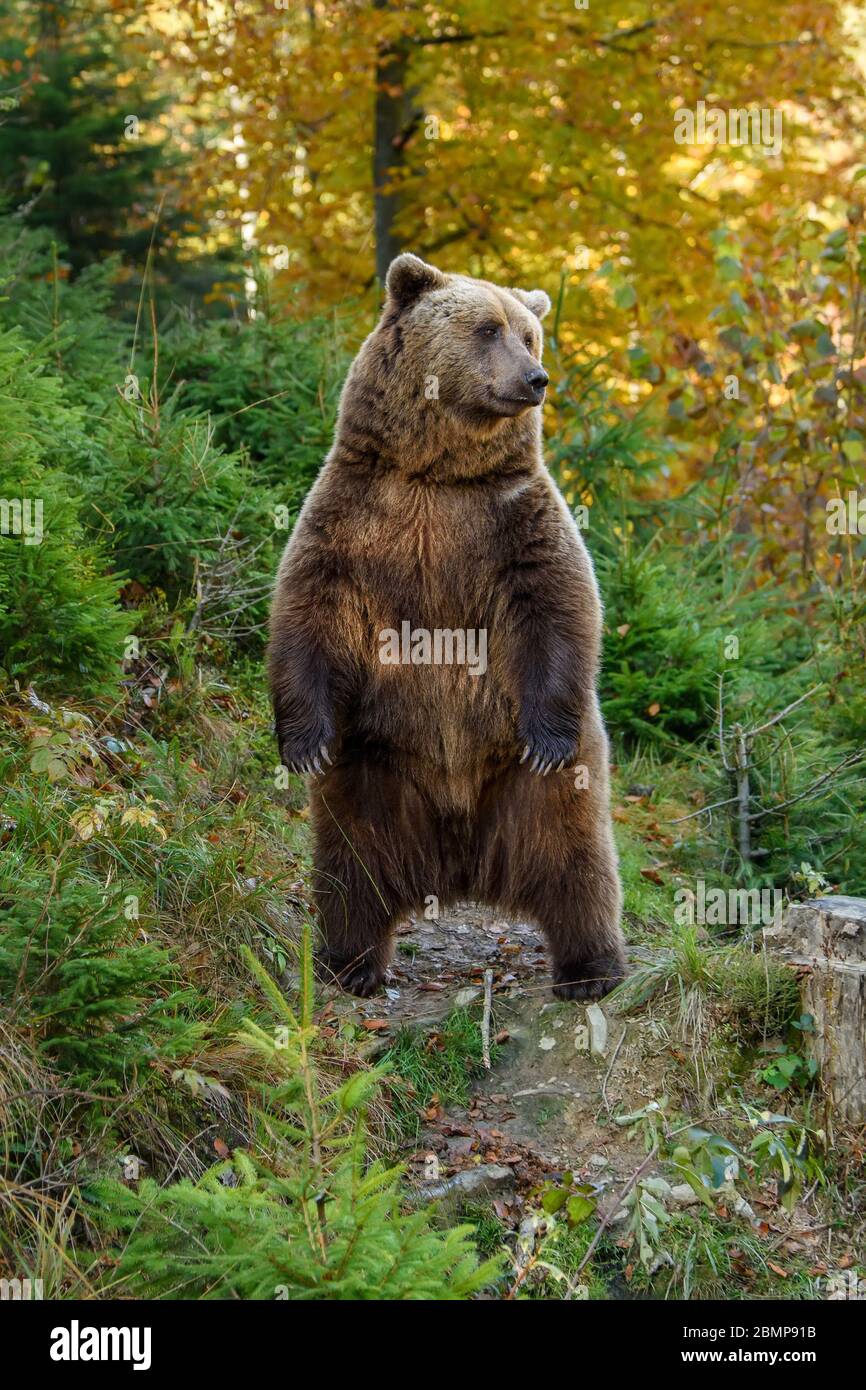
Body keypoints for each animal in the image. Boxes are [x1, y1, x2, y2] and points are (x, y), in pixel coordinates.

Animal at [268, 255, 625, 1000]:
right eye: (489, 328)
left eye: (530, 334)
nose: (536, 378)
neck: (435, 473)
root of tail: (461, 864)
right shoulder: (354, 515)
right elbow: (308, 609)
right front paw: (301, 743)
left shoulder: (513, 519)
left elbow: (562, 603)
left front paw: (547, 736)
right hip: (373, 768)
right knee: (350, 870)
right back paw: (349, 964)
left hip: (537, 786)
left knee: (578, 864)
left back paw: (591, 969)